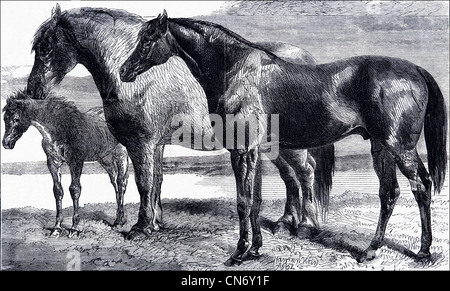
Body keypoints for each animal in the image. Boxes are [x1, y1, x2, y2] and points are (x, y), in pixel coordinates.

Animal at [2, 90, 128, 238]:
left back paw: (118, 222)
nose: (6, 144)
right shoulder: (53, 163)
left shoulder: (76, 162)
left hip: (121, 156)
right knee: (114, 183)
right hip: (105, 159)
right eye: (5, 118)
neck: (61, 129)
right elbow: (58, 191)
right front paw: (56, 228)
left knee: (121, 183)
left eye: (16, 119)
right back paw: (120, 219)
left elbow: (75, 190)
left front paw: (74, 228)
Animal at [23, 5, 334, 244]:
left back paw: (305, 226)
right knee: (290, 177)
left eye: (46, 47)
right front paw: (155, 223)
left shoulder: (141, 143)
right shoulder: (156, 145)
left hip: (289, 145)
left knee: (305, 173)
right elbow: (157, 181)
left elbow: (144, 183)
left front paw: (140, 228)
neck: (138, 80)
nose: (34, 90)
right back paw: (285, 223)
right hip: (274, 145)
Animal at [119, 11, 446, 266]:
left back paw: (423, 252)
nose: (124, 71)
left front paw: (239, 253)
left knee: (421, 185)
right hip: (381, 148)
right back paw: (370, 250)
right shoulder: (253, 150)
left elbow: (243, 201)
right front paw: (255, 249)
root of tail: (415, 70)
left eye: (147, 39)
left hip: (399, 147)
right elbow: (255, 200)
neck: (236, 69)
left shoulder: (242, 150)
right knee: (389, 193)